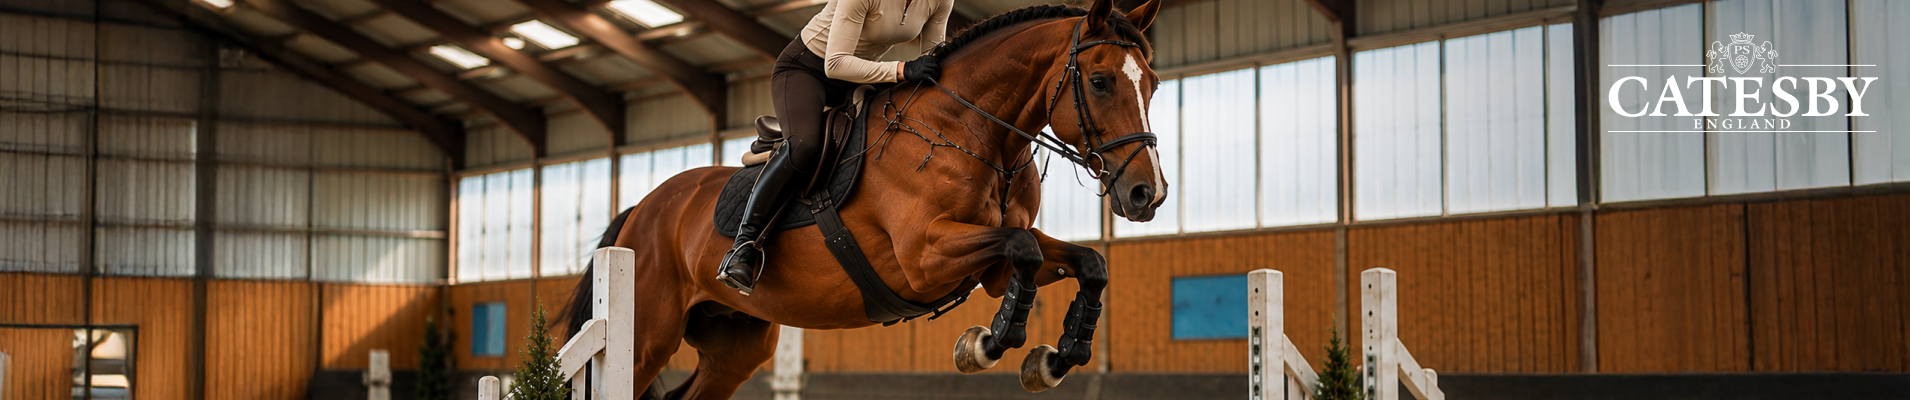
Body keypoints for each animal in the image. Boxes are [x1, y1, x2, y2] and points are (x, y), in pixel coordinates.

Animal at [563, 0, 1168, 397]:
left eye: (1154, 84)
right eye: (1099, 82)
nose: (1148, 194)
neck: (973, 131)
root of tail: (642, 210)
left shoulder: (991, 265)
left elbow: (1084, 261)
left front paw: (1057, 357)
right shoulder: (924, 256)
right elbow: (1024, 248)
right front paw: (987, 343)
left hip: (734, 347)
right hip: (646, 337)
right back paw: (740, 260)